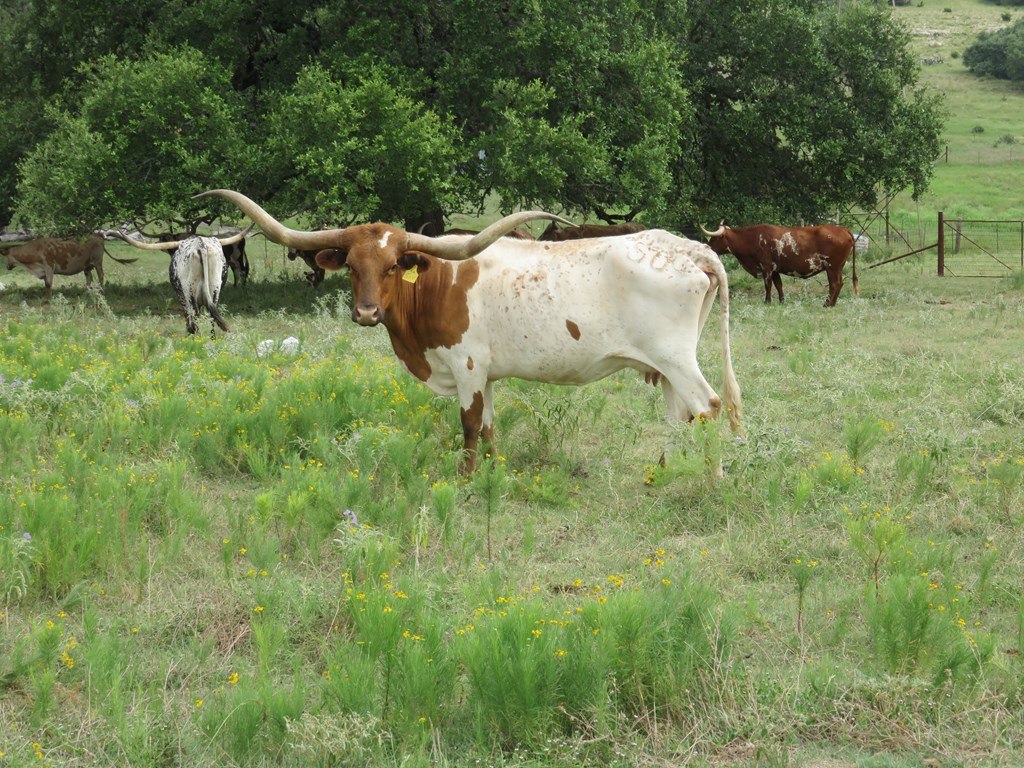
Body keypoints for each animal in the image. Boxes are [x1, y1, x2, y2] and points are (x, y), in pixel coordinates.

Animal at [1, 234, 137, 300]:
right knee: (89, 278)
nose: (7, 266)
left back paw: (101, 292)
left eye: (6, 256)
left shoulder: (49, 267)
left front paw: (48, 299)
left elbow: (49, 284)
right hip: (87, 266)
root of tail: (98, 237)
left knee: (101, 276)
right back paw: (87, 293)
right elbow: (46, 284)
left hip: (98, 262)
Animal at [114, 227, 250, 336]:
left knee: (194, 314)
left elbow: (187, 315)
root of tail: (200, 245)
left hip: (189, 292)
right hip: (215, 290)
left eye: (164, 238)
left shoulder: (180, 294)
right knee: (212, 316)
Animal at [196, 189, 743, 474]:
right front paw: (494, 472)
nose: (367, 313)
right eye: (351, 265)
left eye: (393, 266)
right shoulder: (489, 373)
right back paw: (662, 472)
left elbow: (469, 425)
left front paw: (464, 479)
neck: (435, 283)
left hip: (675, 358)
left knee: (709, 406)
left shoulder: (467, 366)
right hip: (663, 364)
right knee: (680, 415)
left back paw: (711, 478)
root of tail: (690, 249)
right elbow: (492, 426)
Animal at [699, 223, 857, 307]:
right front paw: (781, 302)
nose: (707, 247)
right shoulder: (775, 270)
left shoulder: (766, 267)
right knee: (840, 283)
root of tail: (842, 229)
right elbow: (778, 285)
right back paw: (832, 304)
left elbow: (768, 285)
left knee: (834, 284)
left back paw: (827, 304)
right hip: (838, 267)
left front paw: (767, 302)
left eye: (714, 238)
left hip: (832, 267)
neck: (751, 238)